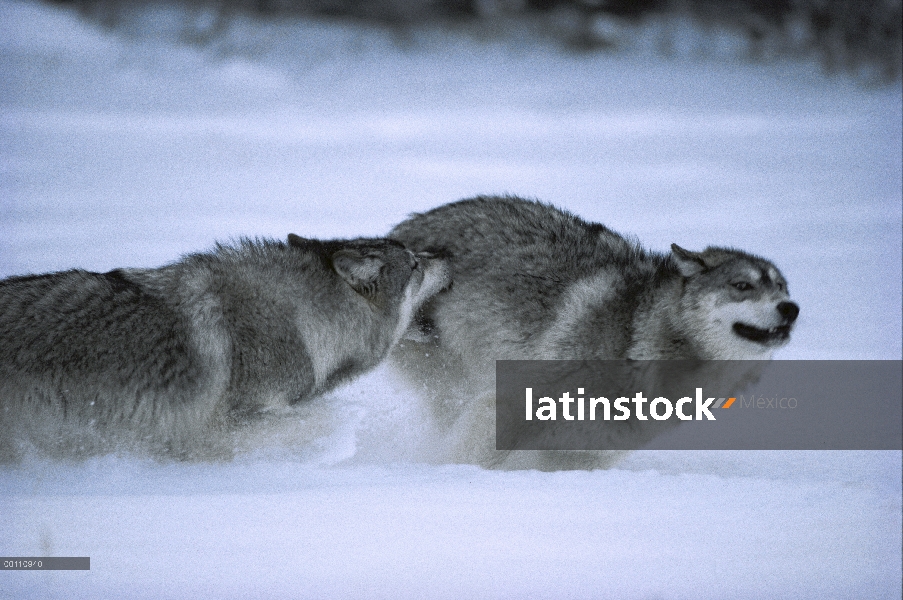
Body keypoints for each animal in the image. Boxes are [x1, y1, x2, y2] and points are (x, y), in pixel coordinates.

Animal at [388, 197, 800, 468]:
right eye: (743, 286)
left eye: (782, 287)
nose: (791, 310)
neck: (638, 342)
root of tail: (400, 230)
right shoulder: (507, 405)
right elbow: (470, 458)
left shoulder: (579, 455)